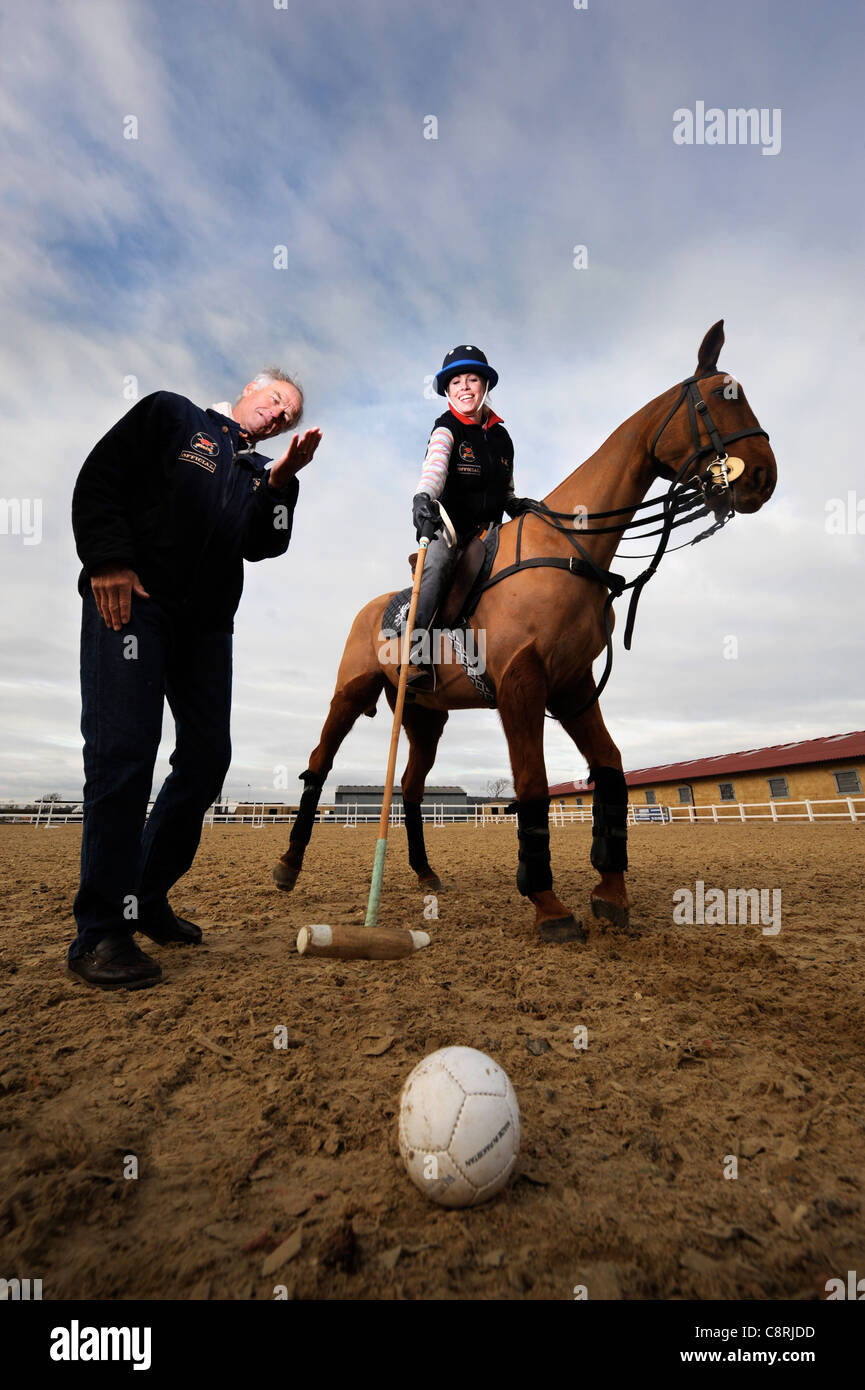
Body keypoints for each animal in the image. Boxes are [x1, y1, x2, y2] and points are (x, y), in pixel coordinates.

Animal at [272, 319, 778, 939]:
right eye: (720, 398)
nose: (763, 475)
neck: (570, 547)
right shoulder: (522, 683)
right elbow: (533, 785)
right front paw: (547, 902)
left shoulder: (573, 686)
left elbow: (611, 771)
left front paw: (611, 890)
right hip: (350, 692)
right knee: (318, 766)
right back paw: (288, 866)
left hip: (425, 716)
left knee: (411, 789)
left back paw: (424, 872)